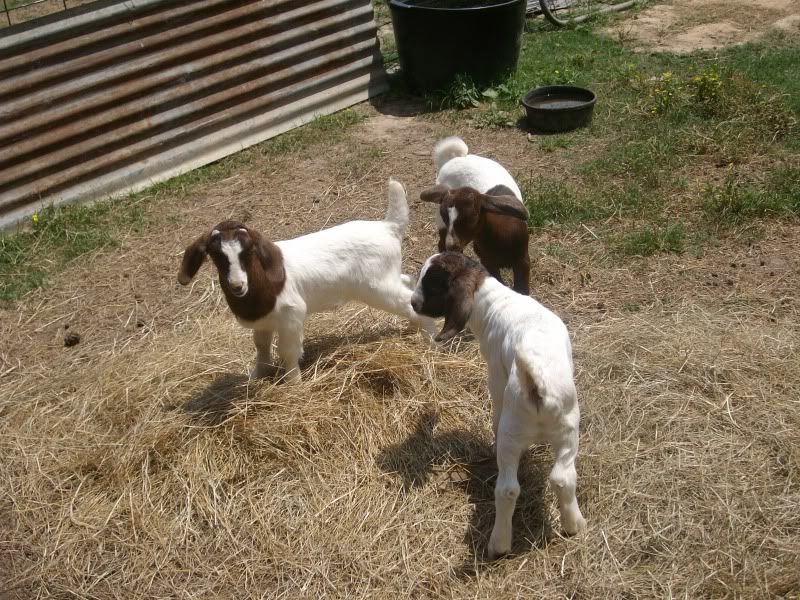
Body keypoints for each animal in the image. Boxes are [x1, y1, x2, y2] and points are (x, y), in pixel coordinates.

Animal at [177, 179, 436, 383]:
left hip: (377, 287)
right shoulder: (264, 322)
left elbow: (288, 351)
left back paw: (430, 338)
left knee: (406, 300)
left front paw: (293, 383)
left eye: (248, 252)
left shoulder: (291, 314)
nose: (237, 285)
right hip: (388, 276)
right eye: (215, 256)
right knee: (408, 282)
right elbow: (261, 346)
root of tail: (388, 227)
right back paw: (413, 327)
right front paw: (258, 375)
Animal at [410, 252, 586, 558]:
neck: (494, 300)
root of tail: (536, 380)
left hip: (511, 432)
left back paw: (499, 544)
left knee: (507, 489)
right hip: (568, 427)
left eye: (432, 285)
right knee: (564, 477)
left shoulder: (495, 373)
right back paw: (573, 524)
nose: (413, 303)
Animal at [422, 136, 531, 295]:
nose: (452, 246)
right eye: (445, 216)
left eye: (472, 219)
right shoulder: (487, 262)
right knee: (441, 243)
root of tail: (456, 158)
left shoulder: (522, 261)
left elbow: (522, 290)